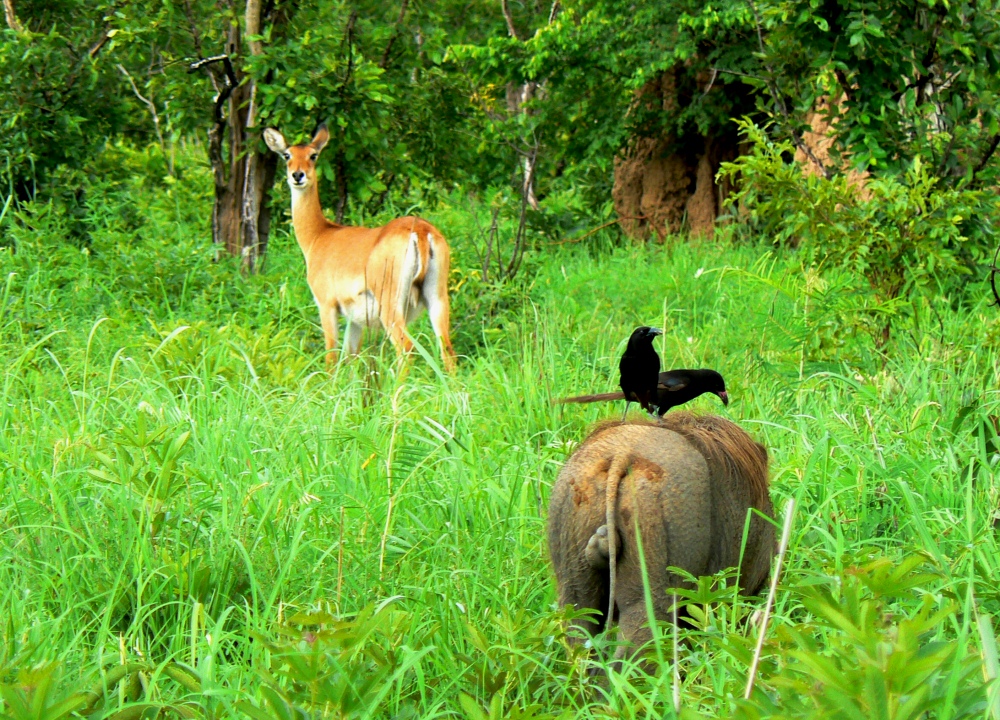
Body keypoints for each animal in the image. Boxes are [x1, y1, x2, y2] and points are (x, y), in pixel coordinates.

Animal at [262, 124, 458, 372]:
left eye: (313, 155)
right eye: (287, 155)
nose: (298, 175)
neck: (319, 235)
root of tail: (422, 231)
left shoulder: (326, 304)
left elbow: (331, 358)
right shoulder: (355, 319)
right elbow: (351, 358)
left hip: (390, 305)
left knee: (406, 349)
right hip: (437, 297)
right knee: (447, 351)